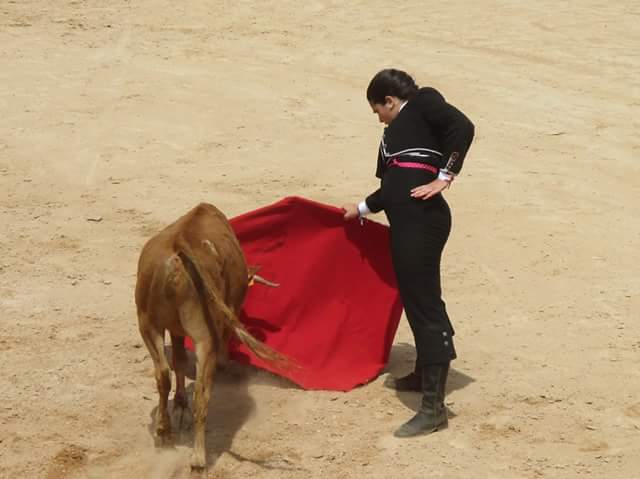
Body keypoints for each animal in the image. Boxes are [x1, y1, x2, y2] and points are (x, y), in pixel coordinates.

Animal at [135, 203, 284, 472]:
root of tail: (179, 245)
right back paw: (198, 459)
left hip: (147, 325)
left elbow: (179, 362)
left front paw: (179, 406)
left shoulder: (174, 330)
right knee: (202, 395)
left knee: (162, 374)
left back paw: (163, 432)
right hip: (205, 338)